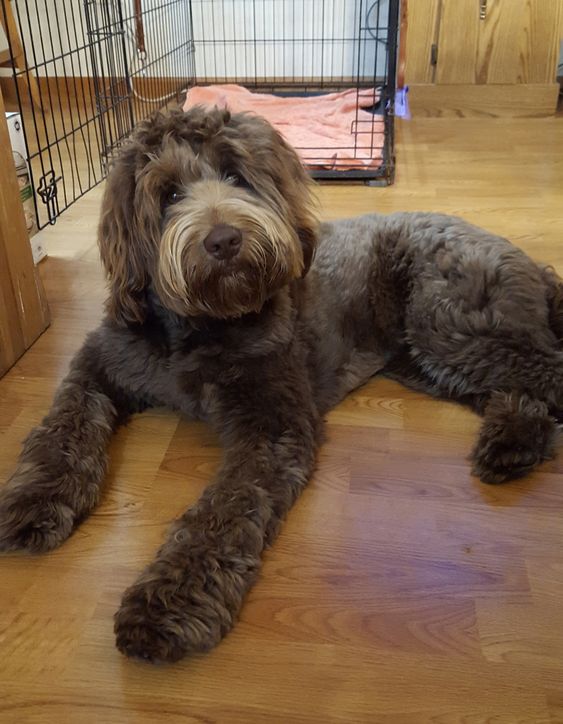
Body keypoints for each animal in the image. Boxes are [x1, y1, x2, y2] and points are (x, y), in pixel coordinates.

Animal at [1, 104, 563, 664]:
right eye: (169, 194)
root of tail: (527, 262)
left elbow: (224, 510)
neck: (203, 325)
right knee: (524, 392)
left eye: (235, 175)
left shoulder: (270, 426)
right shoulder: (102, 362)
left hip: (450, 325)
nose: (224, 240)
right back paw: (510, 447)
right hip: (429, 359)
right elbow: (63, 425)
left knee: (546, 370)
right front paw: (33, 498)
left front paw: (168, 603)